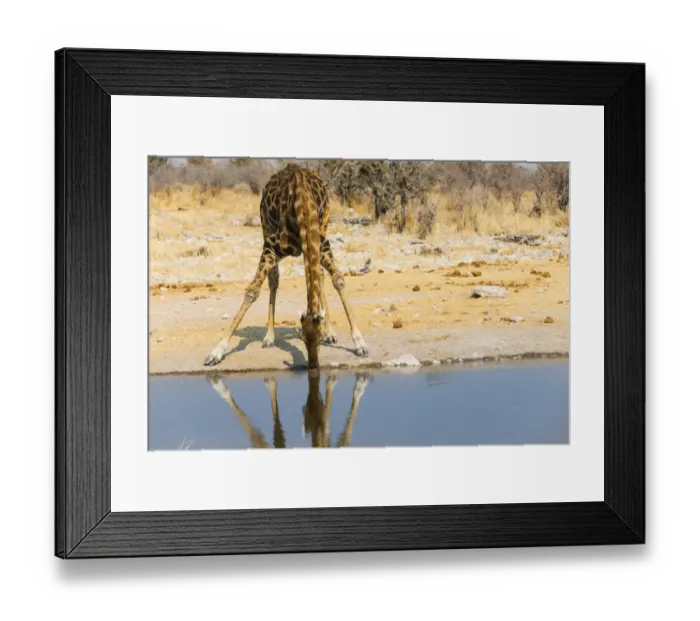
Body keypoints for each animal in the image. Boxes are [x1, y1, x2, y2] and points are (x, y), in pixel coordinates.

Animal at [204, 163, 368, 370]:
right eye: (303, 339)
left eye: (318, 340)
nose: (313, 366)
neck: (303, 204)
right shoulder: (271, 248)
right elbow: (252, 291)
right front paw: (216, 352)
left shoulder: (322, 244)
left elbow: (338, 279)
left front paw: (358, 342)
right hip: (266, 229)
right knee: (274, 280)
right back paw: (269, 337)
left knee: (319, 276)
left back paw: (330, 331)